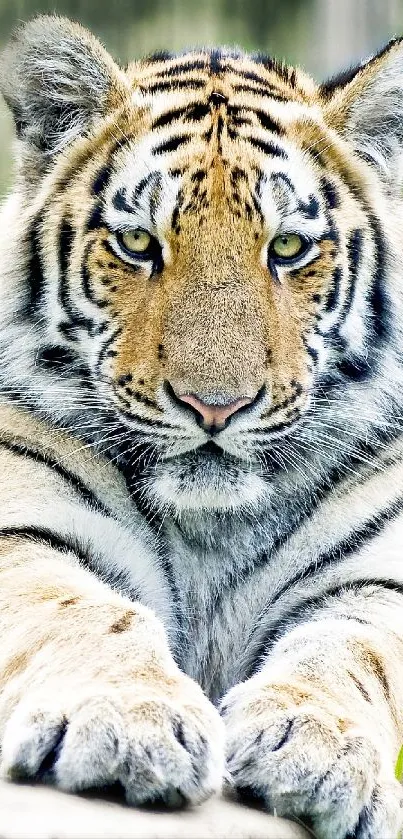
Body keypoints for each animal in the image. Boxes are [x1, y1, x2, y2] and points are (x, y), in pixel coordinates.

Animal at [0, 11, 403, 832]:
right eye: (137, 243)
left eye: (288, 247)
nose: (215, 405)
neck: (209, 530)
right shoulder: (23, 524)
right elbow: (85, 613)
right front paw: (126, 723)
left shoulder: (376, 578)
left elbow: (350, 655)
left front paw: (318, 747)